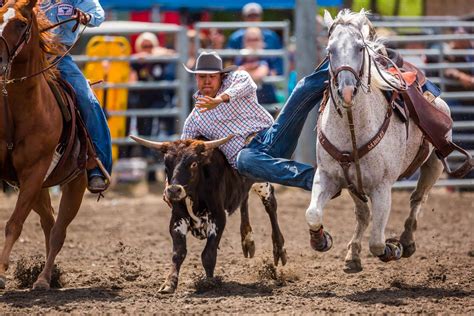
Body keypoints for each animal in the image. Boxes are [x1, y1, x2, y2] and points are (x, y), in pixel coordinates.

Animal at [0, 0, 88, 288]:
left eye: (21, 24)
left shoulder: (34, 171)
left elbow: (14, 224)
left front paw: (1, 271)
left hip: (75, 183)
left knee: (58, 230)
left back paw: (43, 278)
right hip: (38, 188)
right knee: (49, 223)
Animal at [308, 9, 448, 272]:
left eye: (360, 47)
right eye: (330, 50)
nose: (347, 91)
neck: (352, 129)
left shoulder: (382, 188)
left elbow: (376, 242)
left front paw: (392, 249)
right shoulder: (329, 176)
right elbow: (313, 214)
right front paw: (321, 240)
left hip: (434, 164)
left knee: (417, 198)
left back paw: (406, 242)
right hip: (355, 184)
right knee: (363, 214)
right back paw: (353, 255)